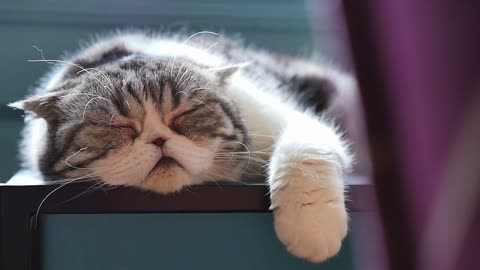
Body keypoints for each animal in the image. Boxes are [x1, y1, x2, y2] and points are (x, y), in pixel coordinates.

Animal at [9, 30, 356, 262]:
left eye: (185, 114)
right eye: (117, 126)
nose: (159, 139)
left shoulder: (290, 120)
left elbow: (305, 156)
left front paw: (312, 230)